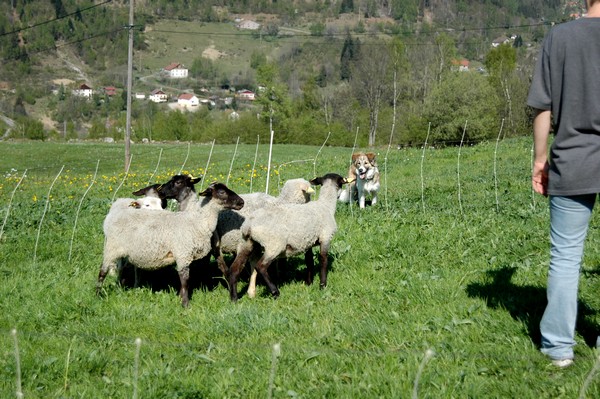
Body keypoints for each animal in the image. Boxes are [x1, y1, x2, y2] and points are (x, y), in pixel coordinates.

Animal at [97, 182, 243, 310]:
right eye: (221, 192)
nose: (241, 202)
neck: (197, 221)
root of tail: (119, 206)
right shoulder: (182, 253)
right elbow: (185, 280)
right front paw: (185, 305)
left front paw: (180, 298)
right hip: (111, 248)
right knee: (102, 271)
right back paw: (98, 294)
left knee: (122, 268)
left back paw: (122, 288)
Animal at [230, 173, 352, 302]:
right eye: (341, 182)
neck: (326, 206)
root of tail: (248, 225)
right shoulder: (326, 237)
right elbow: (323, 260)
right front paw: (322, 285)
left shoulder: (308, 242)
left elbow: (309, 261)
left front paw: (309, 283)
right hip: (274, 245)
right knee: (261, 267)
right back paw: (275, 292)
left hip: (246, 243)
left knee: (234, 269)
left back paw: (234, 298)